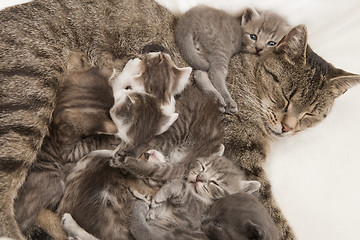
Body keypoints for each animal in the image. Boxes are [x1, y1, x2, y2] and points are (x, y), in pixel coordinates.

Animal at [0, 0, 358, 240]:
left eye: (312, 113)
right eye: (287, 95)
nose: (288, 126)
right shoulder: (242, 154)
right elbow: (272, 216)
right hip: (29, 99)